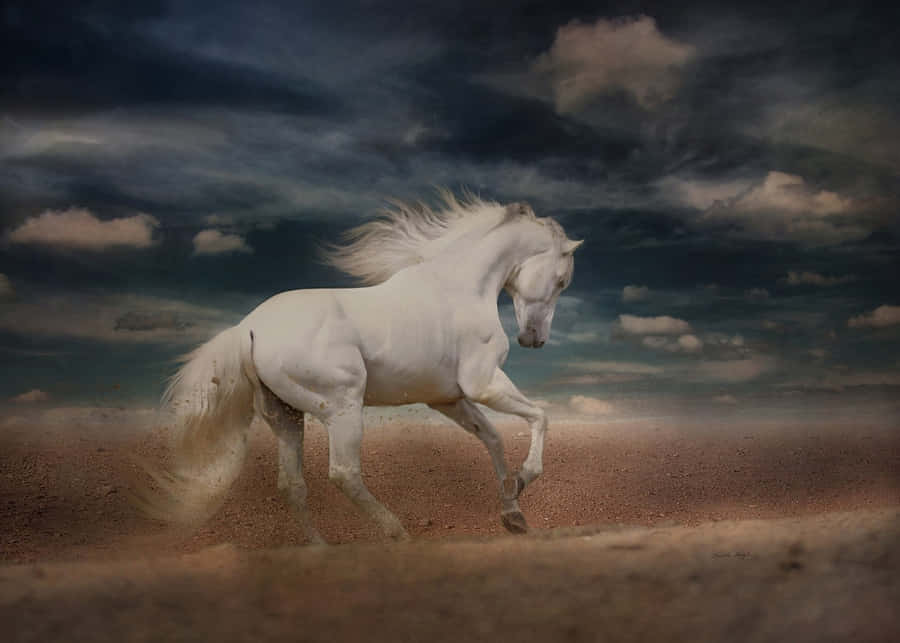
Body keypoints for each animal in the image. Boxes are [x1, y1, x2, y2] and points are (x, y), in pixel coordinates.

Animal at [137, 192, 583, 542]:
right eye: (562, 280)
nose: (534, 339)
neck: (459, 287)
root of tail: (248, 327)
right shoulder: (484, 384)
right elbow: (540, 417)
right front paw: (523, 480)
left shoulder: (448, 399)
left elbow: (492, 438)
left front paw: (513, 513)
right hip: (342, 407)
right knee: (344, 474)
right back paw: (397, 534)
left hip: (286, 416)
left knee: (292, 485)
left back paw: (321, 551)